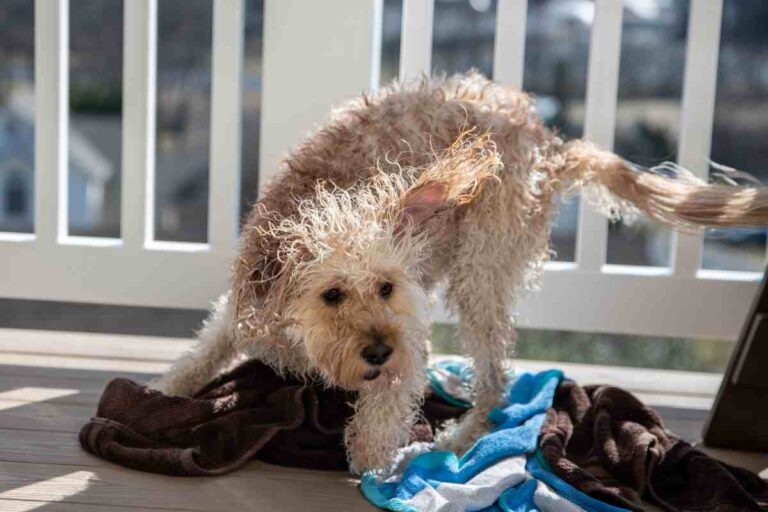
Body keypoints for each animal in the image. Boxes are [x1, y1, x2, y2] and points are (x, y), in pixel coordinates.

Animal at [153, 71, 768, 472]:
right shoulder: (241, 314)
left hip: (482, 273)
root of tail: (547, 143)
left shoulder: (407, 350)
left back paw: (453, 445)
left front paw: (387, 463)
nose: (379, 351)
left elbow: (375, 434)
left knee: (495, 384)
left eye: (386, 287)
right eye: (332, 294)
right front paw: (164, 389)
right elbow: (204, 351)